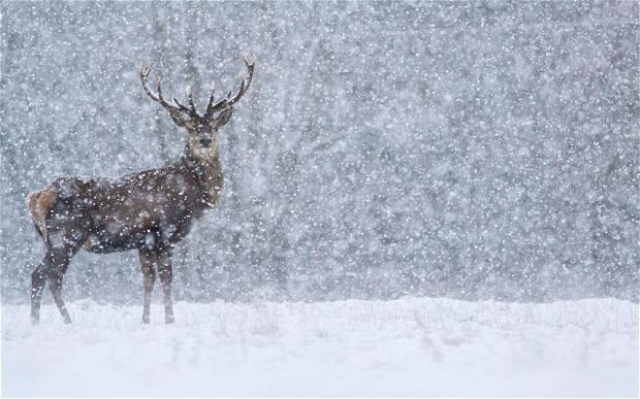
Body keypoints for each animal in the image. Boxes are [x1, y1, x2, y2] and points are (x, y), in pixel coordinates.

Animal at [25, 58, 255, 324]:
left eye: (213, 127)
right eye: (191, 128)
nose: (204, 140)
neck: (190, 197)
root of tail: (37, 197)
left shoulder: (144, 241)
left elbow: (148, 279)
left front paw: (145, 319)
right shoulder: (163, 232)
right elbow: (166, 277)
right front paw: (170, 319)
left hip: (55, 239)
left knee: (45, 275)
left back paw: (40, 322)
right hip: (66, 234)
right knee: (45, 275)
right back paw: (62, 321)